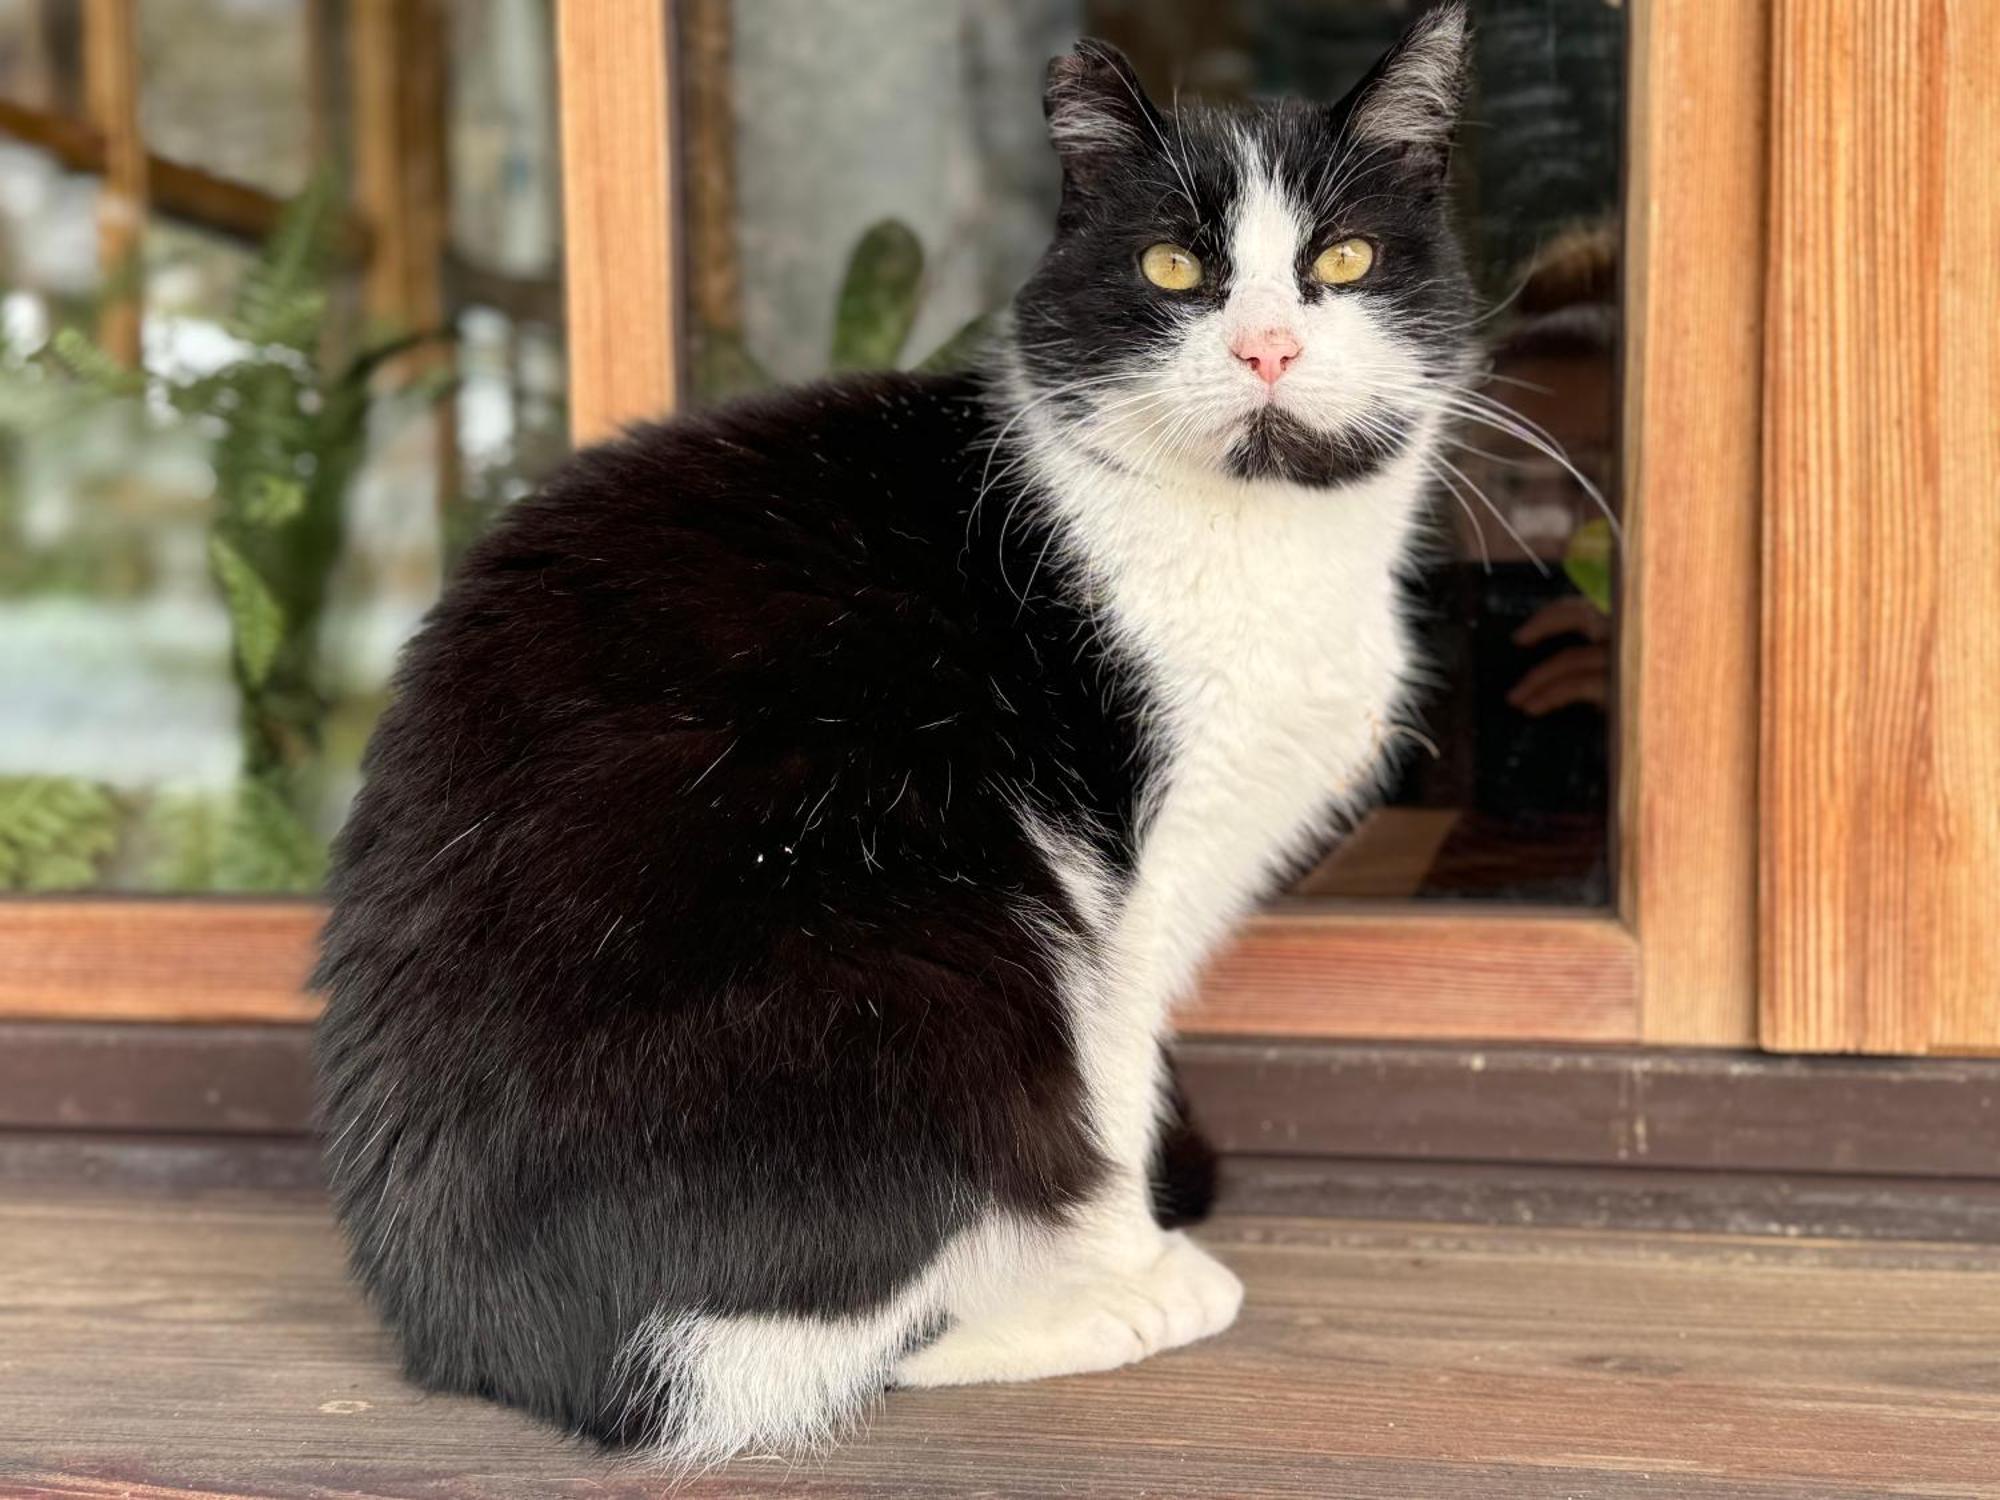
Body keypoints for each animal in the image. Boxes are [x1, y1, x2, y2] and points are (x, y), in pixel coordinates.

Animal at [308, 2, 1472, 1472]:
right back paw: (1070, 1312)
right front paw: (1130, 1263)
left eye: (1343, 259)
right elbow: (1111, 1082)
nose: (1266, 348)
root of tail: (489, 1344)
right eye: (1170, 268)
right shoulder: (1124, 884)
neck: (1264, 533)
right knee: (806, 1342)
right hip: (934, 937)